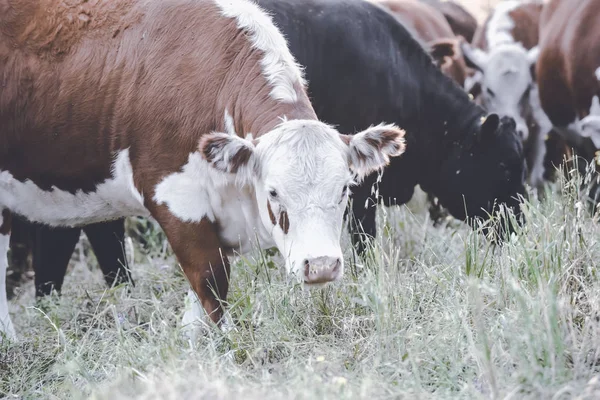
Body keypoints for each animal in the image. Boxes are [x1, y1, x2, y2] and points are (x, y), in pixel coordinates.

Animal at [0, 0, 408, 340]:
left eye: (344, 189)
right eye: (273, 192)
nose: (321, 266)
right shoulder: (175, 198)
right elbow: (211, 283)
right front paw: (226, 348)